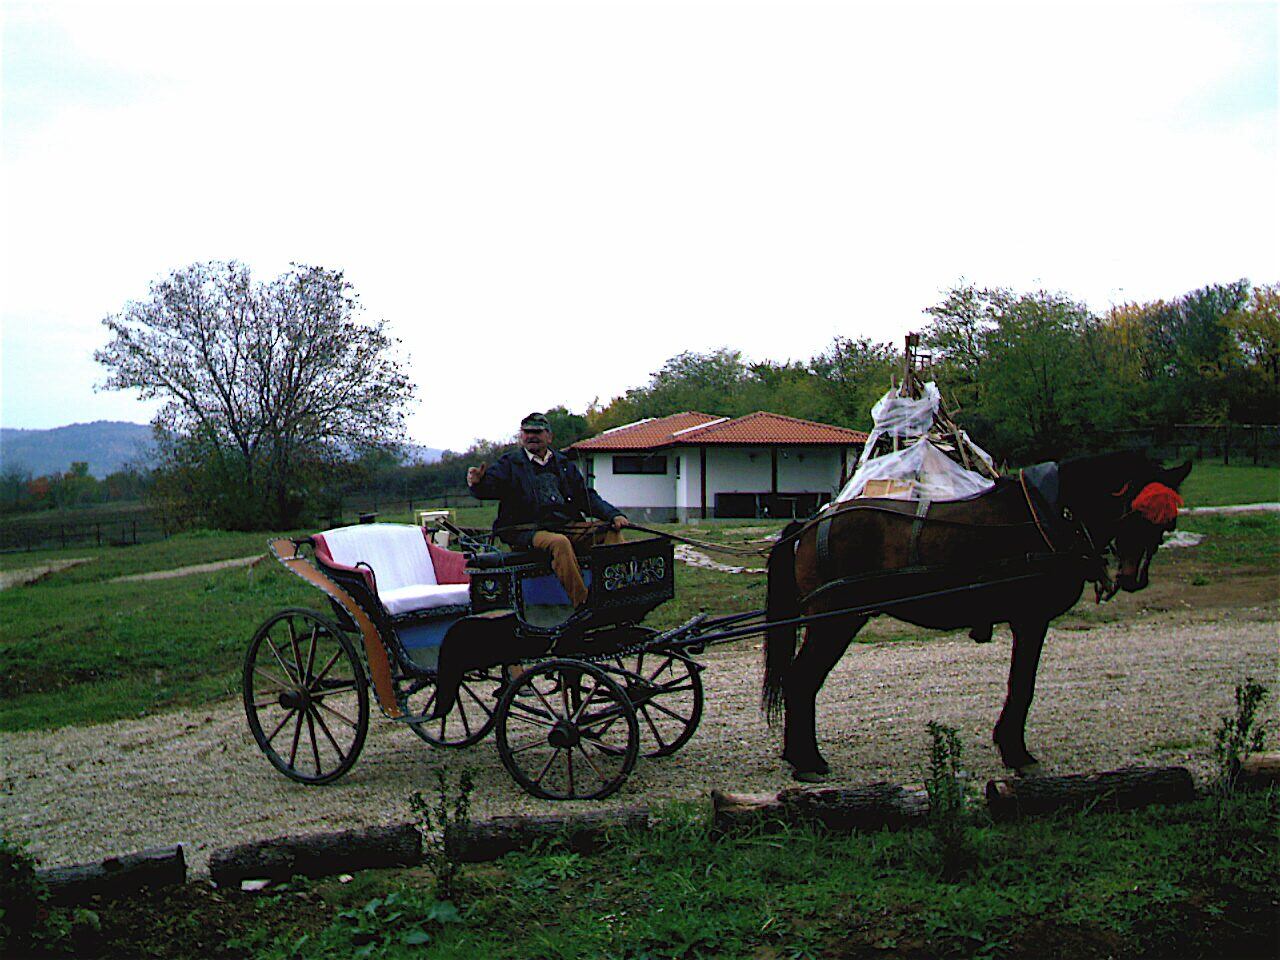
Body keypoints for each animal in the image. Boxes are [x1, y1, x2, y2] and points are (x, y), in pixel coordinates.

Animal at [762, 450, 1192, 781]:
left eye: (1166, 520)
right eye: (1134, 512)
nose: (1135, 578)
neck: (1050, 516)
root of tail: (810, 524)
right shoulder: (1030, 619)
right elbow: (1022, 685)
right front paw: (1017, 752)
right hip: (834, 621)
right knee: (801, 681)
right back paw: (807, 761)